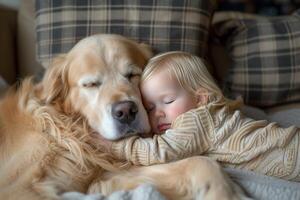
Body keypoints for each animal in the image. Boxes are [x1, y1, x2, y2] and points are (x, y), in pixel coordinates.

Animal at [0, 34, 246, 200]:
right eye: (91, 84)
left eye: (133, 74)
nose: (126, 111)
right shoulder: (21, 188)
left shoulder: (103, 176)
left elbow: (199, 162)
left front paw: (228, 192)